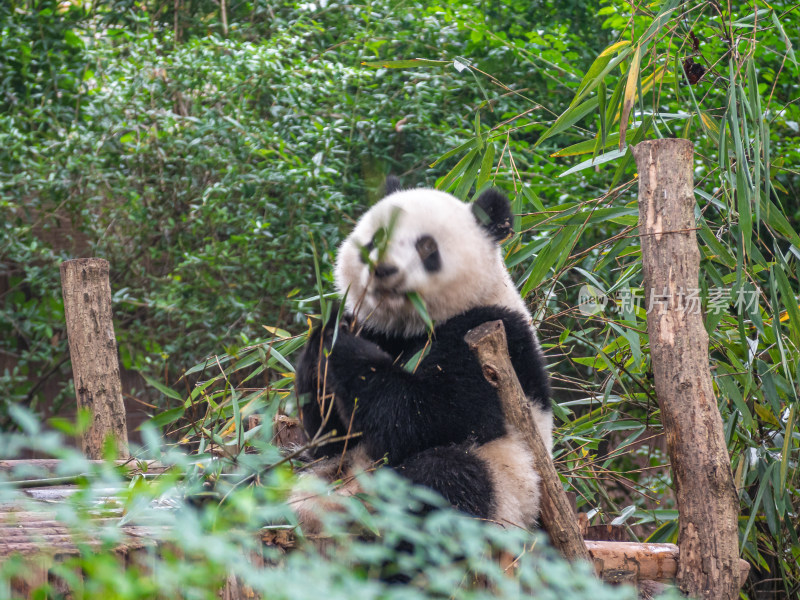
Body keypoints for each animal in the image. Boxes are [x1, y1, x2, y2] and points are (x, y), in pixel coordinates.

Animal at [294, 178, 552, 528]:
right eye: (376, 239)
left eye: (427, 247)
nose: (384, 269)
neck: (411, 325)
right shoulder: (379, 330)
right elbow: (330, 435)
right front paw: (330, 331)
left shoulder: (492, 340)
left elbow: (425, 416)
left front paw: (343, 346)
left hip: (509, 487)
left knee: (447, 478)